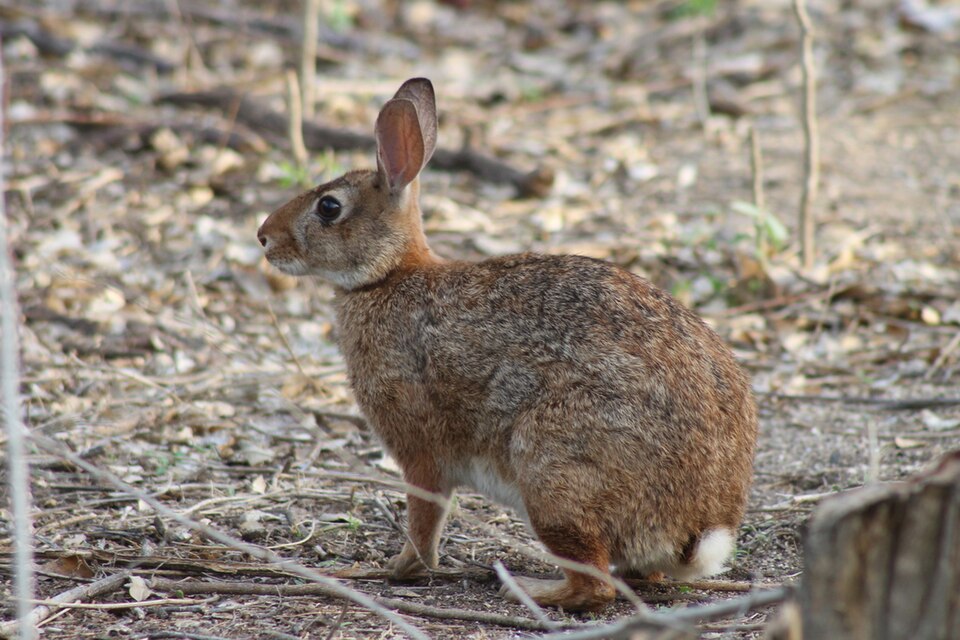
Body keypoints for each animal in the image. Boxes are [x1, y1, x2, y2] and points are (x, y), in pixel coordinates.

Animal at [257, 78, 758, 611]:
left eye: (329, 207)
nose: (264, 237)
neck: (388, 275)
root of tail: (700, 527)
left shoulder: (419, 450)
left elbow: (424, 518)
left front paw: (395, 568)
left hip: (551, 471)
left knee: (595, 586)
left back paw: (527, 586)